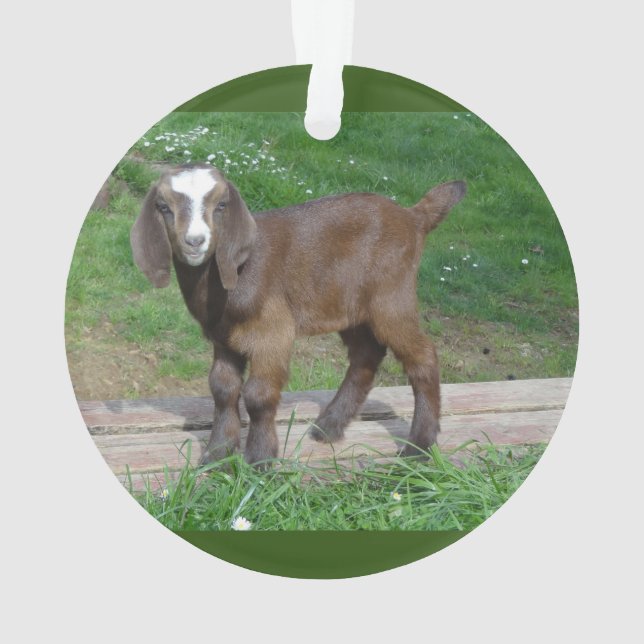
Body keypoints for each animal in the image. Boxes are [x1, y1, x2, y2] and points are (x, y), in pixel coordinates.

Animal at [131, 164, 466, 465]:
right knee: (366, 355)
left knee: (422, 355)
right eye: (163, 207)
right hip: (350, 308)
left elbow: (258, 394)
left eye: (221, 205)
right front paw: (217, 454)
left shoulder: (273, 330)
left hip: (391, 297)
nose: (195, 241)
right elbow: (222, 388)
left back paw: (419, 446)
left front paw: (260, 461)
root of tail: (413, 217)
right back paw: (329, 427)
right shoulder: (224, 337)